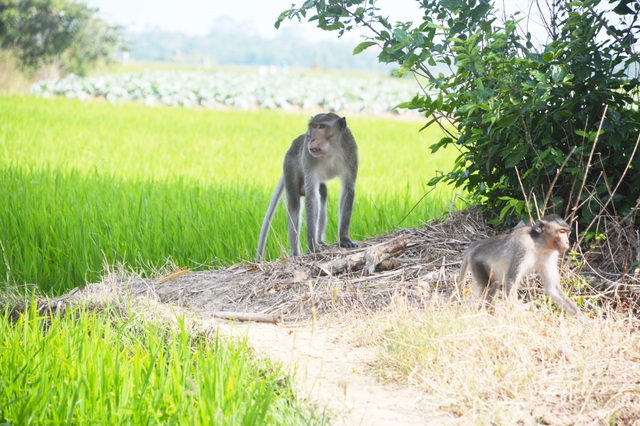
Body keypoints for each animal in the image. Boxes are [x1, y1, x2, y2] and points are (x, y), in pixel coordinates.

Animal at [255, 111, 358, 262]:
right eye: (313, 127)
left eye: (321, 127)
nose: (312, 139)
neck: (331, 150)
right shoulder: (309, 159)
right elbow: (311, 196)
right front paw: (312, 246)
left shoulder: (351, 151)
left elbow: (347, 189)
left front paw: (344, 238)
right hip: (290, 165)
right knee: (294, 205)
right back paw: (295, 253)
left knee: (322, 195)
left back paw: (320, 240)